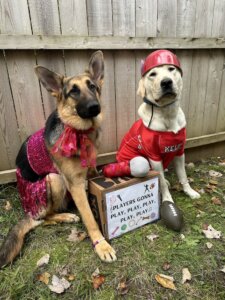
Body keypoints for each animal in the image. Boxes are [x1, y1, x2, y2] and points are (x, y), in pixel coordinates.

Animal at [0, 50, 116, 268]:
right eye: (73, 92)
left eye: (92, 86)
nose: (95, 107)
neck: (79, 132)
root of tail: (28, 211)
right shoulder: (75, 184)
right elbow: (89, 218)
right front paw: (102, 246)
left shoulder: (91, 172)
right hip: (53, 180)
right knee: (42, 219)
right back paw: (65, 216)